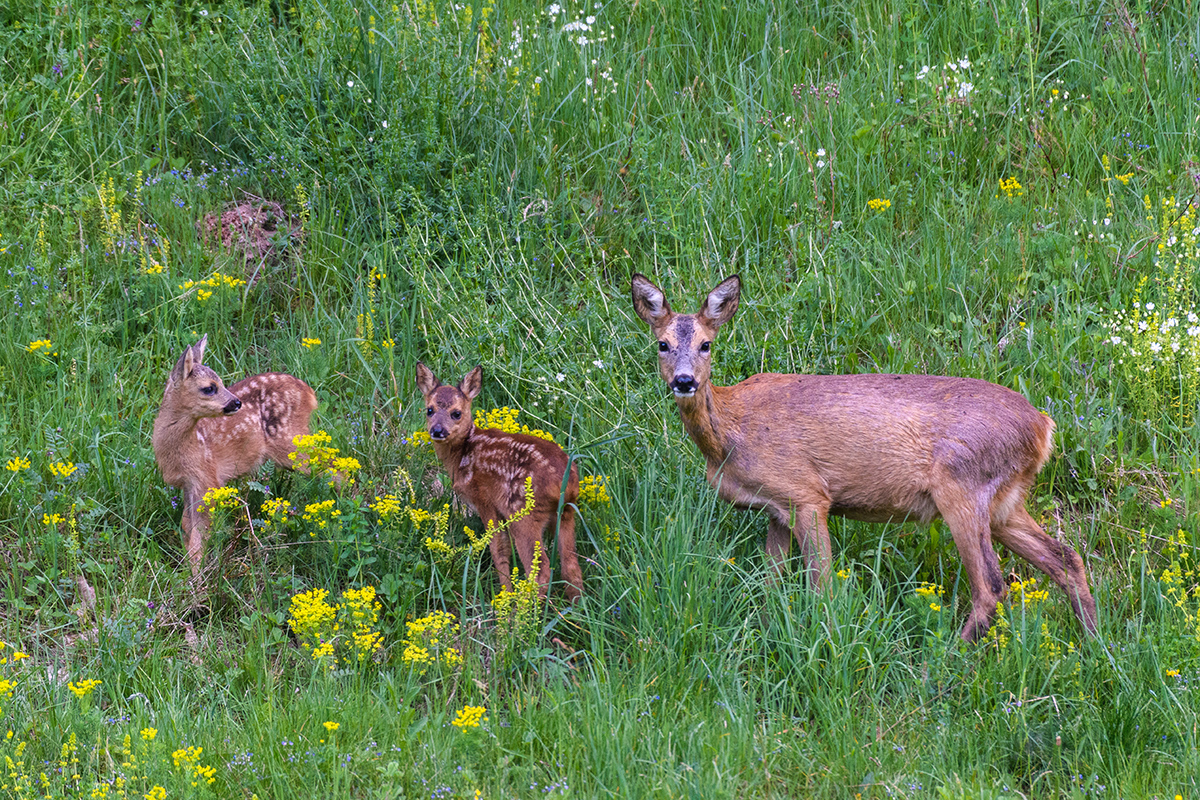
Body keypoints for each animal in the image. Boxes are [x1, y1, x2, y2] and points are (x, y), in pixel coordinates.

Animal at [151, 335, 319, 573]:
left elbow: (199, 532)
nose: (237, 402)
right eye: (209, 388)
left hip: (291, 441)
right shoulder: (187, 483)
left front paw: (197, 575)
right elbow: (186, 526)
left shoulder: (207, 478)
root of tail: (309, 393)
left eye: (221, 382)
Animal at [415, 362, 583, 599]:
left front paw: (504, 596)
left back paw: (524, 609)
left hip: (523, 513)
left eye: (456, 413)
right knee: (571, 567)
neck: (461, 455)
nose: (437, 430)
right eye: (429, 409)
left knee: (541, 570)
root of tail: (566, 484)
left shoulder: (483, 498)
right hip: (566, 513)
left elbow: (498, 547)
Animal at [633, 275, 1099, 642]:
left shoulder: (808, 495)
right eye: (662, 344)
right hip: (1005, 502)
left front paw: (824, 640)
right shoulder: (775, 508)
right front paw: (767, 630)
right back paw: (1095, 644)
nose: (684, 381)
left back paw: (947, 661)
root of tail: (1042, 427)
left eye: (706, 344)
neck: (731, 433)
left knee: (991, 585)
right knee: (1066, 559)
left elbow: (821, 585)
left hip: (963, 486)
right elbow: (770, 580)